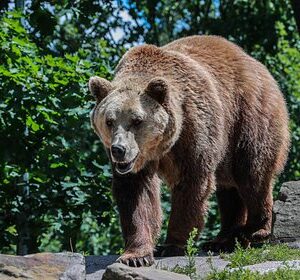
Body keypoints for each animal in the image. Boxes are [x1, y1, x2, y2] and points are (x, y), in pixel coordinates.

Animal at [88, 35, 290, 266]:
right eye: (109, 121)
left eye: (137, 120)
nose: (119, 149)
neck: (163, 144)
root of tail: (259, 66)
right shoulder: (138, 162)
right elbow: (136, 195)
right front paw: (136, 255)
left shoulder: (194, 128)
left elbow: (192, 182)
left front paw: (172, 244)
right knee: (229, 187)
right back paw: (223, 239)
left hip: (247, 116)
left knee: (252, 172)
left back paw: (255, 231)